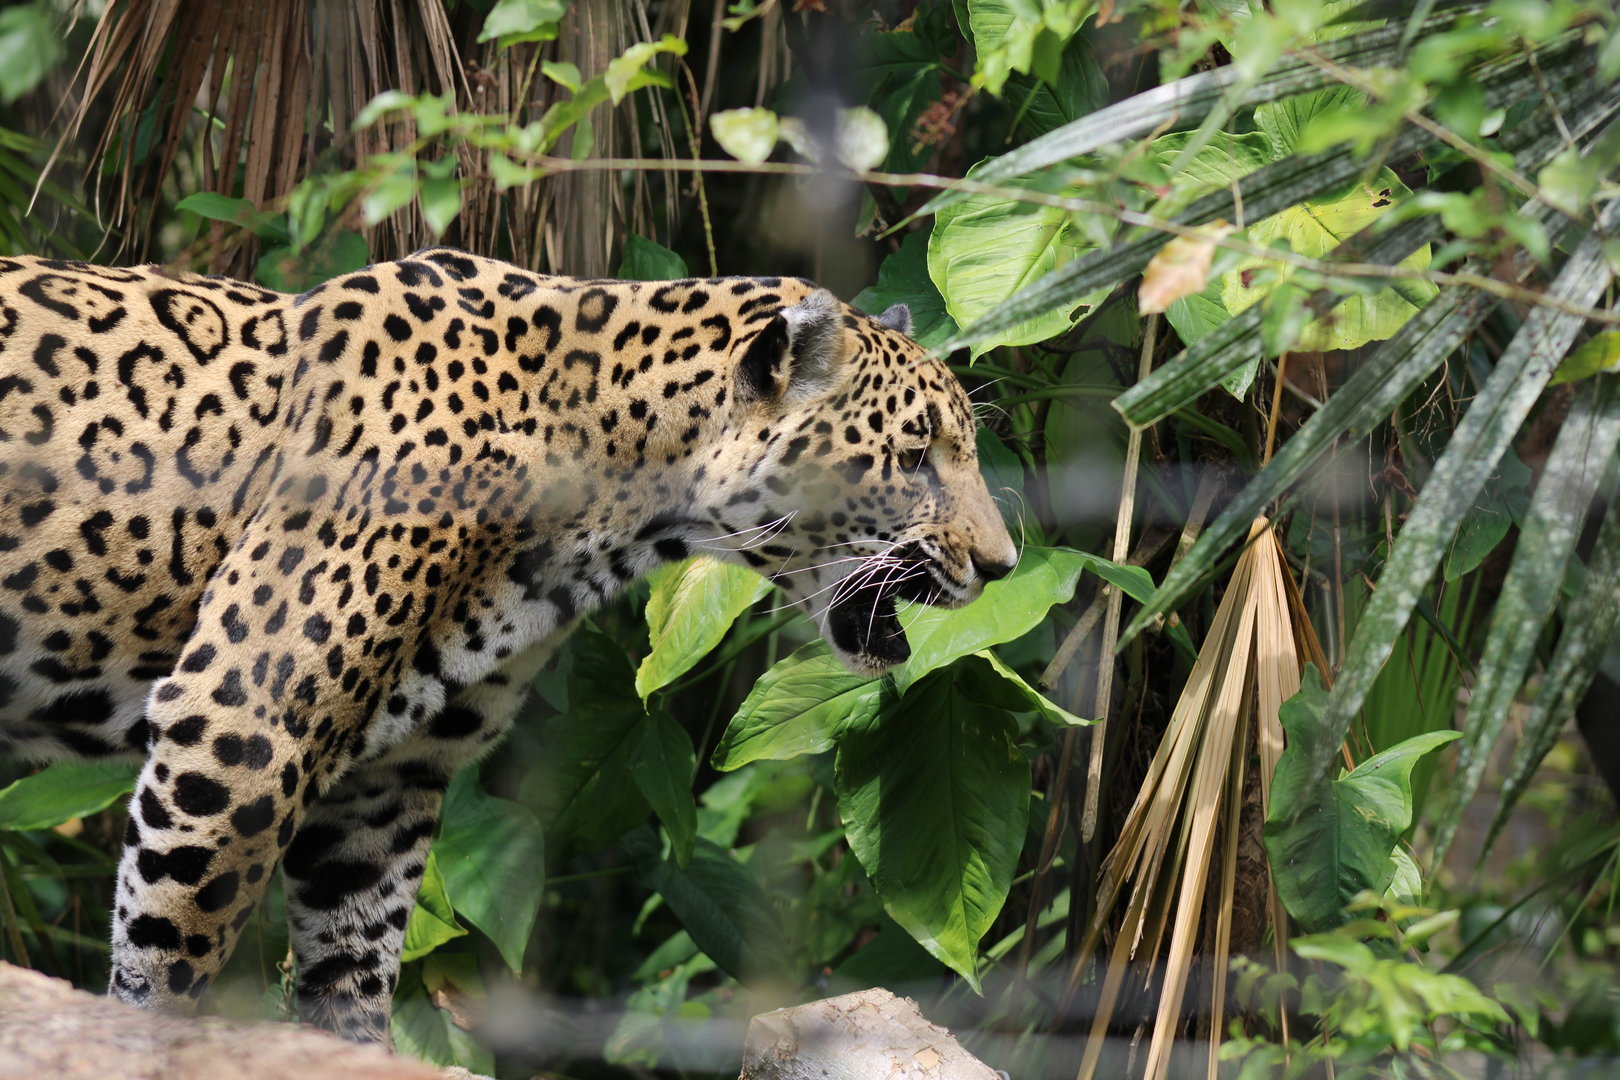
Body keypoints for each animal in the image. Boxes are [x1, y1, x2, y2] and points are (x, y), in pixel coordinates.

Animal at [0, 247, 1017, 1044]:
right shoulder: (242, 727)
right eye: (914, 457)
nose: (1002, 565)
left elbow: (353, 979)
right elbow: (167, 966)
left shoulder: (385, 786)